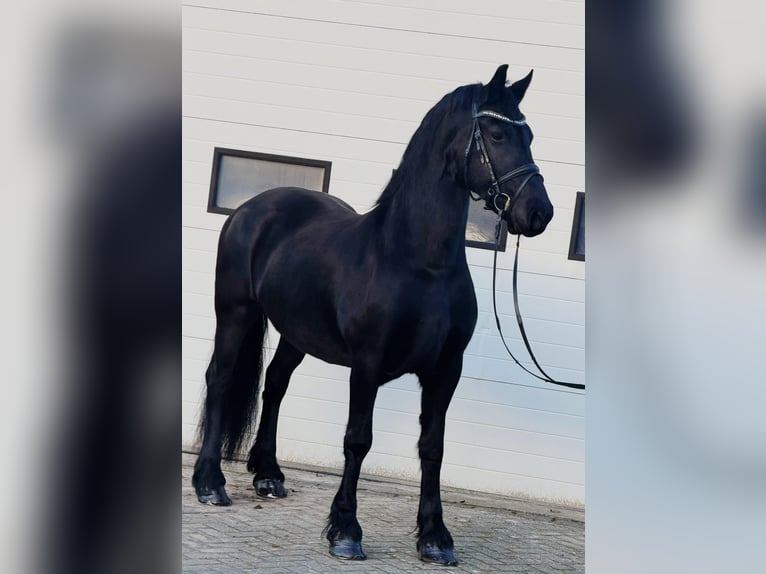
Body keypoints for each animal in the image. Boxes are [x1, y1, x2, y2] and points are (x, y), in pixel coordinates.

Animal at [192, 64, 554, 566]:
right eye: (498, 134)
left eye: (531, 135)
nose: (539, 212)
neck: (419, 264)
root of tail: (252, 208)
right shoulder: (367, 365)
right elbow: (357, 440)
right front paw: (345, 530)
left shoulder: (446, 370)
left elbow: (433, 447)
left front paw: (435, 538)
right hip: (235, 314)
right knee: (222, 379)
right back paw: (210, 484)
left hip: (296, 333)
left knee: (275, 384)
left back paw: (269, 475)